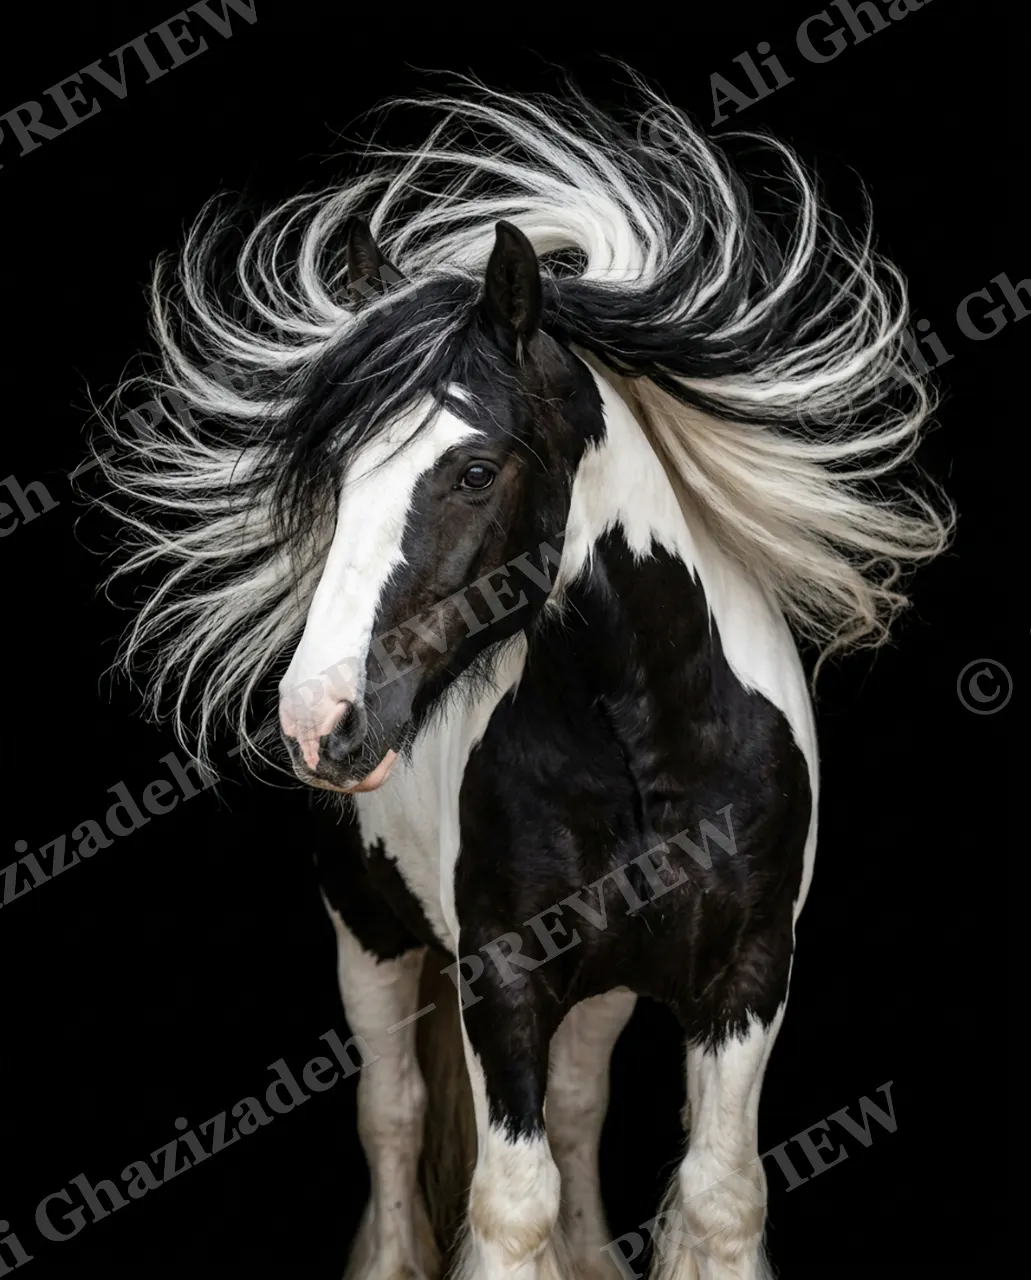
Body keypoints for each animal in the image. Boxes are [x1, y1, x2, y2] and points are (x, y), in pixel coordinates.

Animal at [98, 78, 950, 1280]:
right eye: (337, 478)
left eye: (469, 469)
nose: (318, 718)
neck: (645, 737)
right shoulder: (497, 975)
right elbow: (509, 1199)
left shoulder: (750, 970)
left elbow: (719, 1194)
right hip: (371, 938)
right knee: (393, 1115)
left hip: (597, 984)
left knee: (580, 1104)